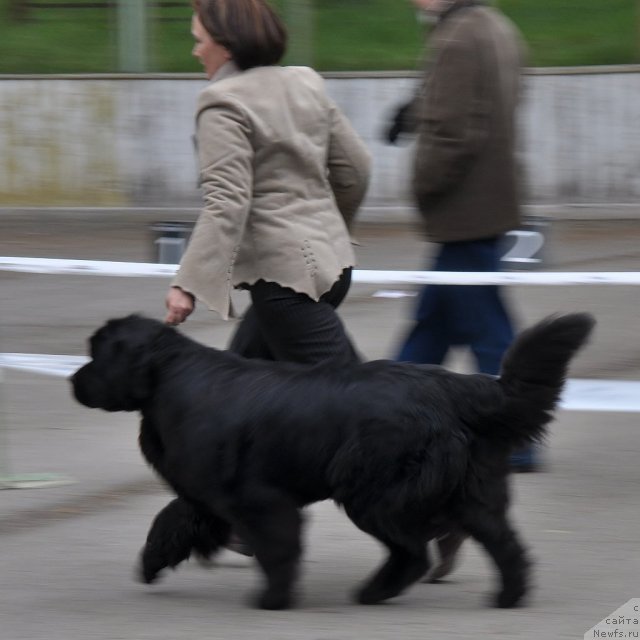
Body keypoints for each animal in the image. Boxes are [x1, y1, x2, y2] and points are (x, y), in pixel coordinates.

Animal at [72, 314, 592, 608]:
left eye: (97, 352)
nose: (74, 381)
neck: (169, 379)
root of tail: (458, 387)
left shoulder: (258, 499)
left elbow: (278, 548)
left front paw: (274, 600)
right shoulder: (209, 493)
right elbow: (172, 519)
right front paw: (152, 562)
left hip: (373, 492)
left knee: (411, 551)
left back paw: (376, 592)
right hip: (471, 492)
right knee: (505, 545)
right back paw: (509, 597)